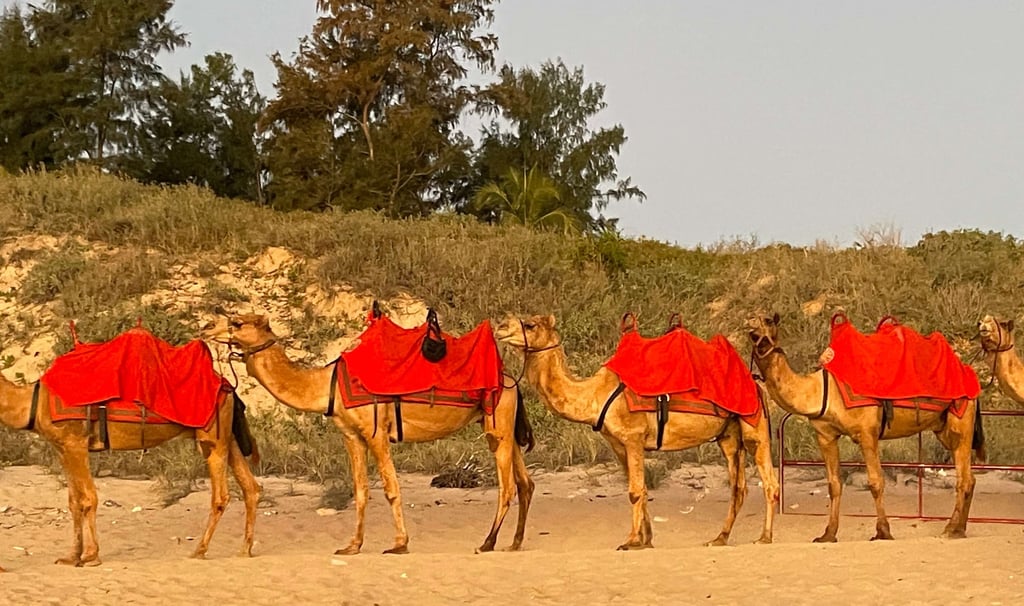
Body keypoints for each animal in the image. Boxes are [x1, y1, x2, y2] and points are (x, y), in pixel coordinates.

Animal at [0, 368, 261, 567]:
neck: (31, 404)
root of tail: (229, 387)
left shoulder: (76, 444)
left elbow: (88, 499)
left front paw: (91, 556)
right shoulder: (62, 449)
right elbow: (74, 502)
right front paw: (71, 556)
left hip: (212, 437)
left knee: (220, 496)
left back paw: (199, 550)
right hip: (228, 436)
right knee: (251, 487)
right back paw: (245, 549)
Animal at [204, 314, 535, 555]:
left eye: (237, 322)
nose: (207, 326)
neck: (327, 385)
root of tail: (512, 382)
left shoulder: (376, 433)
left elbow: (391, 488)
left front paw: (399, 544)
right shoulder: (351, 436)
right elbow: (361, 490)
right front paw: (352, 546)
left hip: (497, 421)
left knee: (507, 486)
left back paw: (487, 542)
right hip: (501, 425)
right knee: (525, 482)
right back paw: (515, 542)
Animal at [493, 314, 778, 550]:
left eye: (530, 324)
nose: (500, 327)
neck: (596, 394)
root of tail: (756, 385)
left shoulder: (633, 437)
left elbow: (634, 491)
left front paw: (630, 541)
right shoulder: (618, 443)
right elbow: (641, 488)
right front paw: (645, 540)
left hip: (754, 426)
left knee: (769, 482)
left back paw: (765, 537)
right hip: (728, 435)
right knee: (738, 487)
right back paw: (719, 538)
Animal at [747, 313, 983, 542]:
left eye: (768, 321)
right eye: (751, 329)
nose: (750, 324)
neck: (820, 391)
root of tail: (967, 372)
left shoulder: (867, 432)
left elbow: (875, 481)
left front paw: (883, 532)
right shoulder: (825, 435)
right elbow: (834, 484)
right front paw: (828, 534)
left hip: (962, 415)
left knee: (963, 478)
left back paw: (951, 530)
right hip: (943, 428)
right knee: (969, 477)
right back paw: (958, 528)